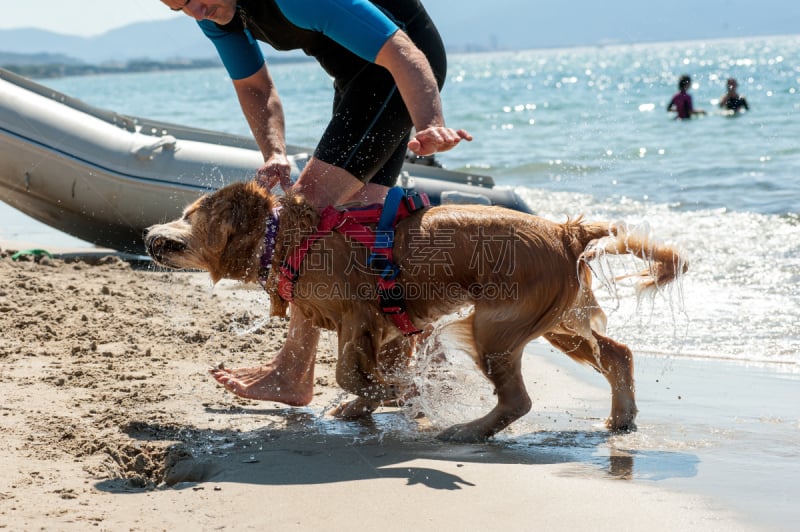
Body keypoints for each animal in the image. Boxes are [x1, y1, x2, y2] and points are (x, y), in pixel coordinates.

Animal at [145, 182, 688, 440]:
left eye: (188, 215)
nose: (149, 234)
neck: (292, 239)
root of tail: (565, 230)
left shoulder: (359, 316)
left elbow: (349, 373)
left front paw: (390, 393)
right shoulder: (388, 326)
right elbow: (361, 373)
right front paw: (369, 403)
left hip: (495, 326)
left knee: (518, 401)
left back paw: (467, 431)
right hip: (559, 322)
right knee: (618, 353)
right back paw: (621, 419)